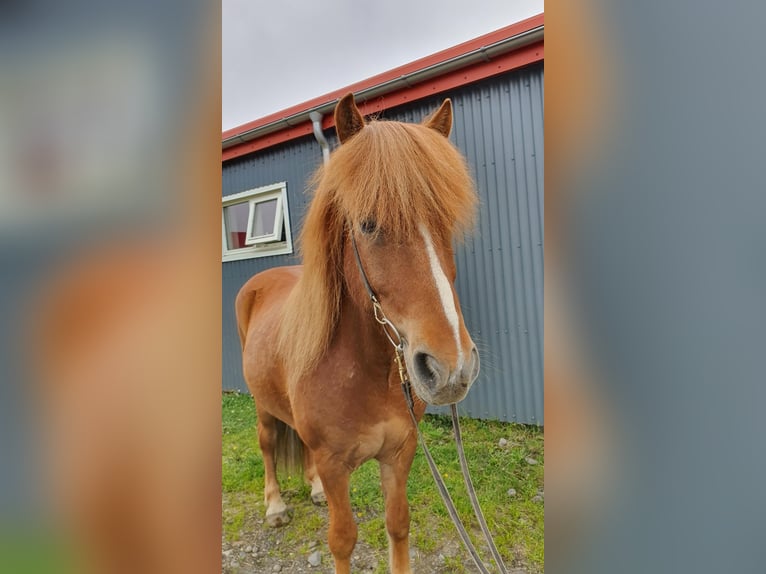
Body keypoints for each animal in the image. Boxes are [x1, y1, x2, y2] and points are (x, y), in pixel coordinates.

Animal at [235, 92, 480, 574]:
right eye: (368, 223)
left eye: (445, 223)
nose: (451, 368)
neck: (367, 372)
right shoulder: (335, 467)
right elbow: (343, 539)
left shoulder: (400, 454)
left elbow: (398, 525)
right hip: (262, 405)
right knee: (268, 443)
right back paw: (275, 506)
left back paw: (310, 490)